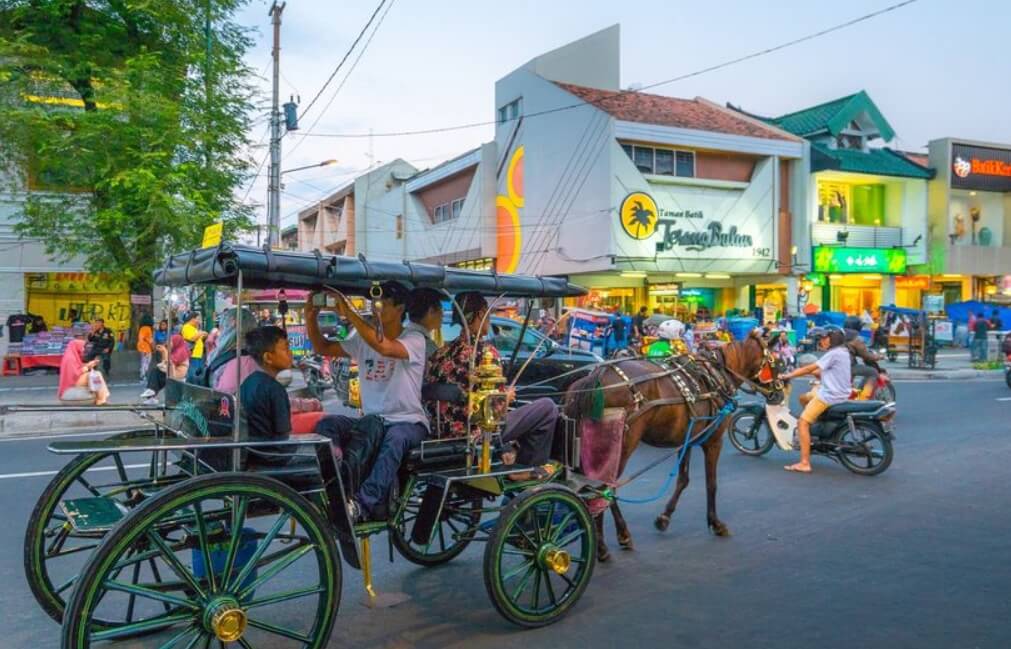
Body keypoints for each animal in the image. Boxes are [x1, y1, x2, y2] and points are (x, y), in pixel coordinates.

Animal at [562, 331, 780, 558]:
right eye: (777, 363)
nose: (780, 393)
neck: (715, 376)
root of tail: (598, 376)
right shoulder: (714, 441)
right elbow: (711, 484)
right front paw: (716, 523)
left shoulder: (686, 440)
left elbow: (683, 480)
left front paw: (664, 518)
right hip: (622, 445)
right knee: (604, 488)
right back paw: (611, 542)